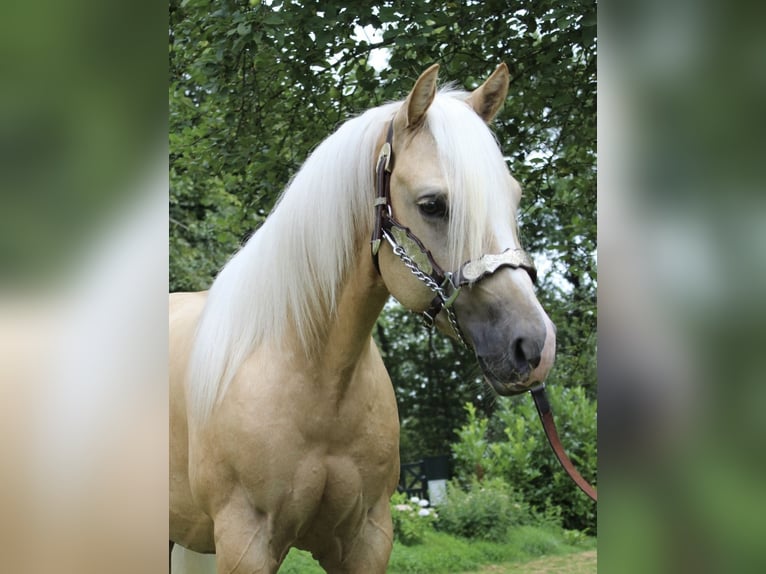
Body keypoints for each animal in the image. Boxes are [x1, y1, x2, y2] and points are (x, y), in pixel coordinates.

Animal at [171, 65, 560, 572]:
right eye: (432, 204)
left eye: (513, 199)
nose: (534, 345)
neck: (314, 377)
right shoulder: (245, 542)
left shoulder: (366, 538)